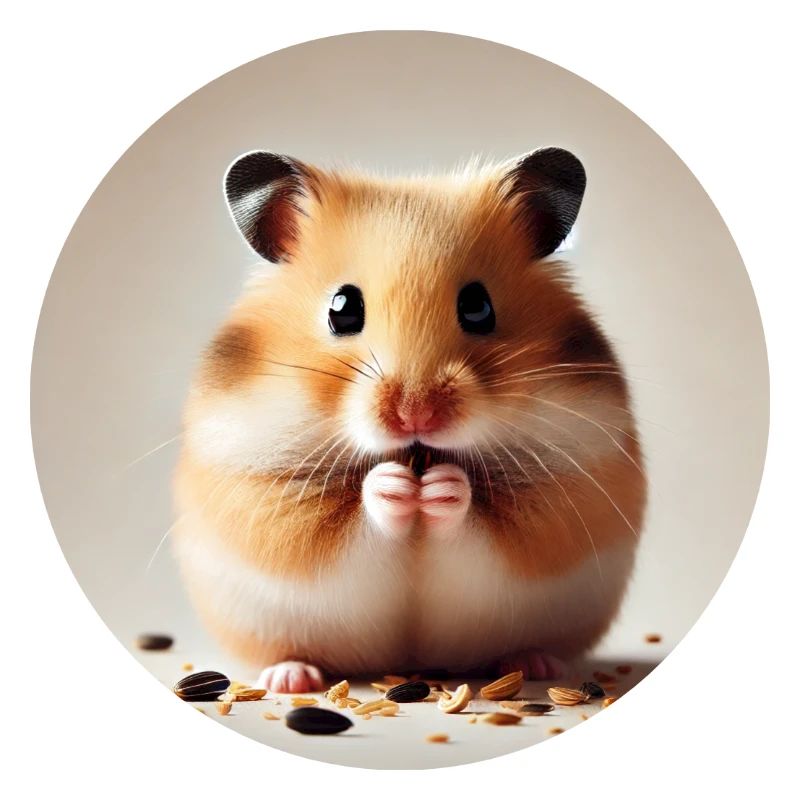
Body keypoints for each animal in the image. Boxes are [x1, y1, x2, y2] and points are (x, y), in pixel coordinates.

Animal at [173, 148, 647, 693]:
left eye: (478, 305)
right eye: (342, 308)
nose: (415, 414)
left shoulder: (563, 492)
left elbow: (482, 525)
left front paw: (442, 487)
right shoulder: (264, 497)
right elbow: (350, 523)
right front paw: (393, 486)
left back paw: (534, 665)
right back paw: (291, 678)